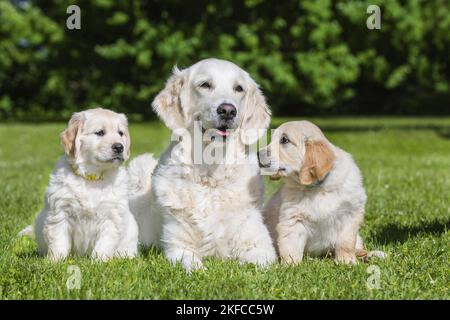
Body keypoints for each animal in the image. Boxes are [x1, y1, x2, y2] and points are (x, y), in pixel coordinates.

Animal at [34, 107, 137, 260]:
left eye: (120, 133)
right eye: (99, 132)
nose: (119, 147)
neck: (92, 177)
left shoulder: (112, 216)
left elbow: (104, 243)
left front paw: (99, 261)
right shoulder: (60, 210)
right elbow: (58, 240)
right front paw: (55, 260)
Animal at [258, 121, 384, 264]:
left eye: (284, 140)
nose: (257, 153)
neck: (318, 187)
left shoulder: (350, 214)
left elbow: (346, 242)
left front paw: (346, 261)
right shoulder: (293, 218)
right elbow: (291, 246)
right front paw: (290, 265)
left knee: (359, 249)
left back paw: (372, 254)